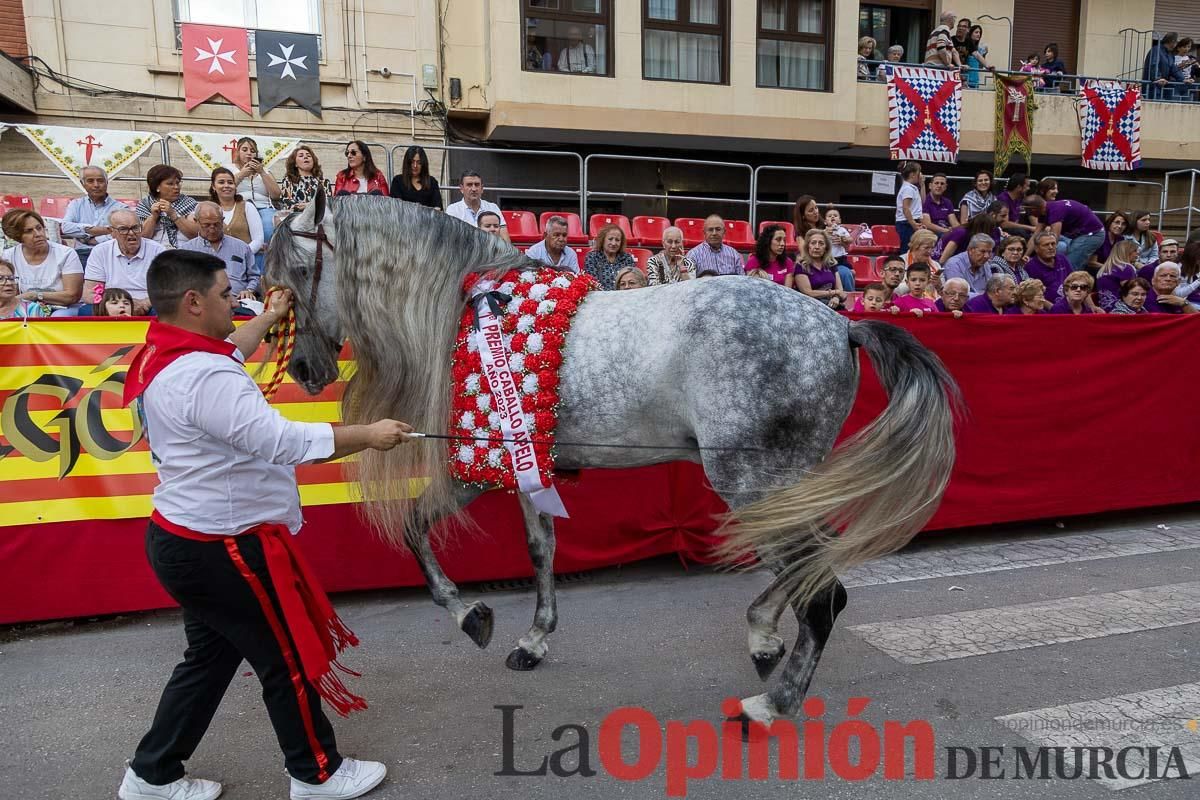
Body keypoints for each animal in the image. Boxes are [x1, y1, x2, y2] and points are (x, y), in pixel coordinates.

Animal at [267, 194, 960, 724]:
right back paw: (763, 635)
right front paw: (533, 638)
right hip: (785, 484)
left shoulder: (478, 462)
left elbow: (415, 529)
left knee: (822, 595)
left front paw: (471, 615)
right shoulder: (527, 466)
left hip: (753, 481)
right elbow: (540, 548)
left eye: (300, 272)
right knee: (812, 574)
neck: (467, 313)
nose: (304, 370)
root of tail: (839, 326)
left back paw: (774, 702)